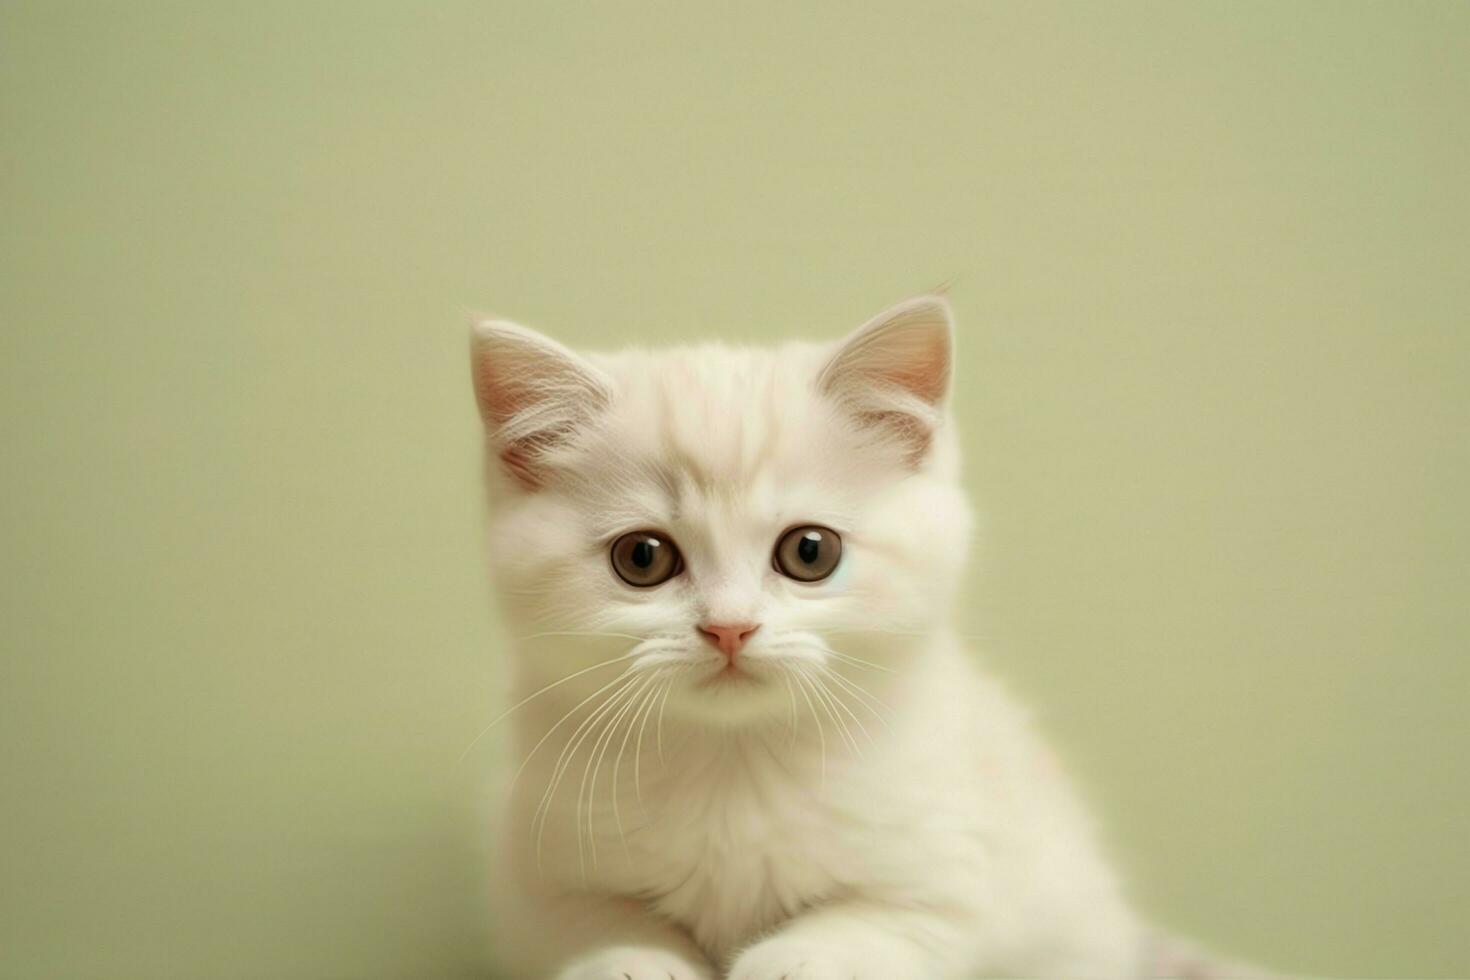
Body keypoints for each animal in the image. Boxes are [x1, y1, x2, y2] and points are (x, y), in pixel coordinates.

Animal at [470, 299, 1240, 980]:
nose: (729, 626)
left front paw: (792, 960)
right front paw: (637, 962)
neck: (735, 765)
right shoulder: (537, 880)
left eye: (810, 551)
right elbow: (599, 925)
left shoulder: (948, 872)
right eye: (642, 558)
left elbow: (870, 923)